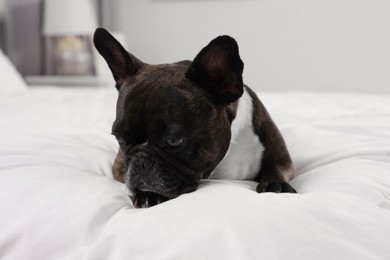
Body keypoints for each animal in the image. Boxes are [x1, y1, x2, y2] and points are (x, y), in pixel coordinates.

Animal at [93, 27, 296, 207]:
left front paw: (276, 184)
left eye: (174, 141)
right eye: (119, 138)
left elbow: (276, 168)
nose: (140, 162)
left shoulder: (281, 158)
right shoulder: (119, 165)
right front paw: (149, 195)